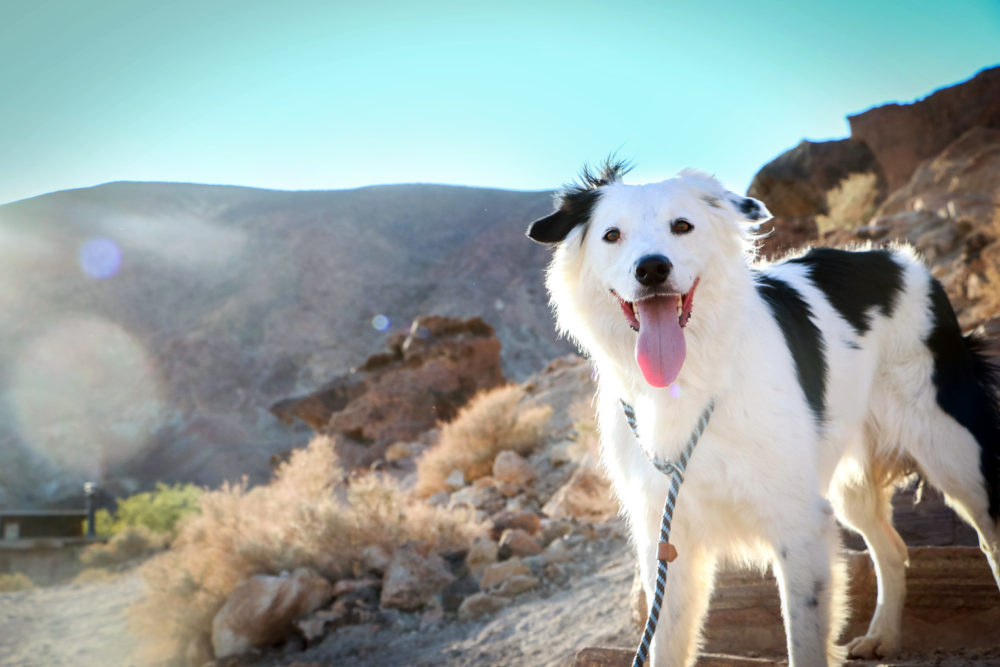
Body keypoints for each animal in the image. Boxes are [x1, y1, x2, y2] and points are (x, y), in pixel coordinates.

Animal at [528, 163, 1000, 667]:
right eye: (612, 235)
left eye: (682, 225)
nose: (652, 269)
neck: (692, 377)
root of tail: (897, 258)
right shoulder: (667, 538)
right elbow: (667, 642)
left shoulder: (798, 522)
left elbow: (805, 640)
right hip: (848, 481)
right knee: (892, 549)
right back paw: (883, 637)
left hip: (952, 451)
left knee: (989, 535)